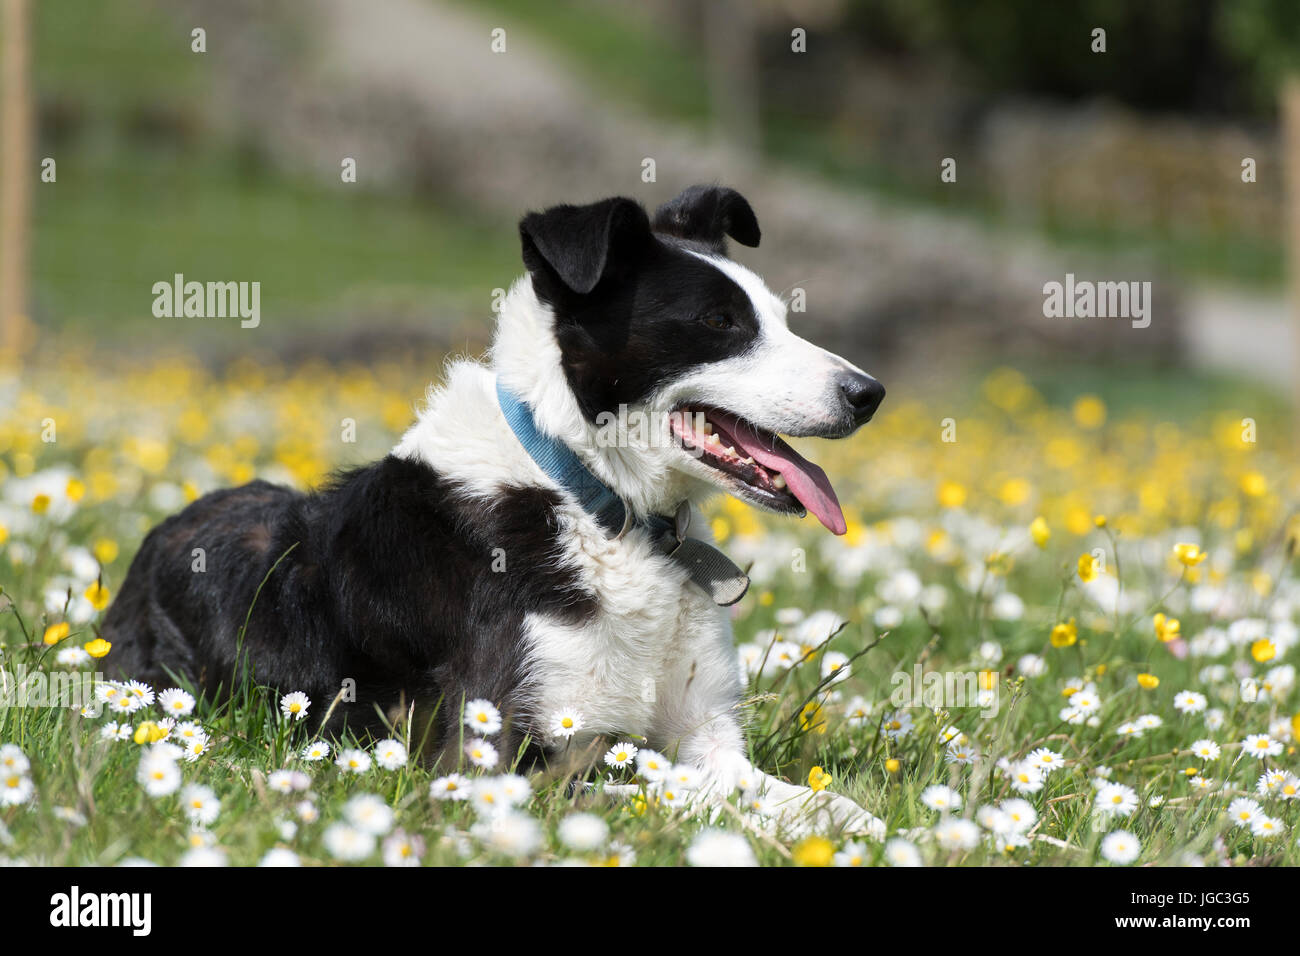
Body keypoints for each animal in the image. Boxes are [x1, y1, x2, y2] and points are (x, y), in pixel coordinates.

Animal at [106, 184, 889, 837]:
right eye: (719, 320)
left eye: (780, 319)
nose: (869, 394)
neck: (599, 505)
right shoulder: (493, 757)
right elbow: (672, 793)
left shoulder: (707, 736)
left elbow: (808, 801)